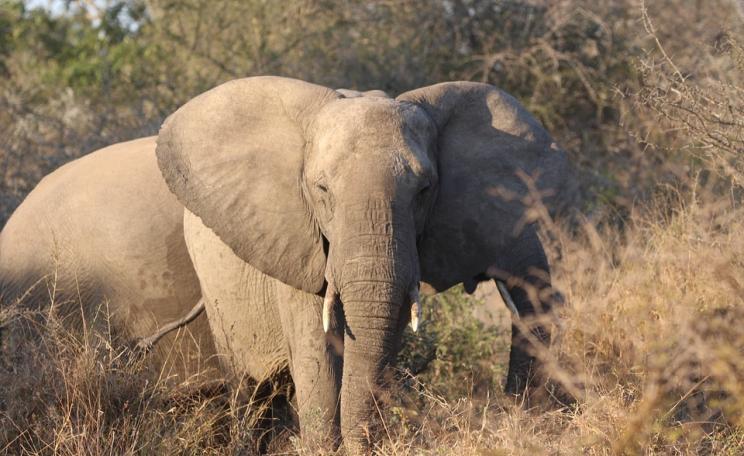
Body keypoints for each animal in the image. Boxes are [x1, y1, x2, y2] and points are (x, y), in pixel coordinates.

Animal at [155, 76, 575, 451]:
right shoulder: (298, 245)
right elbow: (317, 351)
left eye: (424, 191)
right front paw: (325, 447)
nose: (512, 409)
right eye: (322, 190)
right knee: (247, 387)